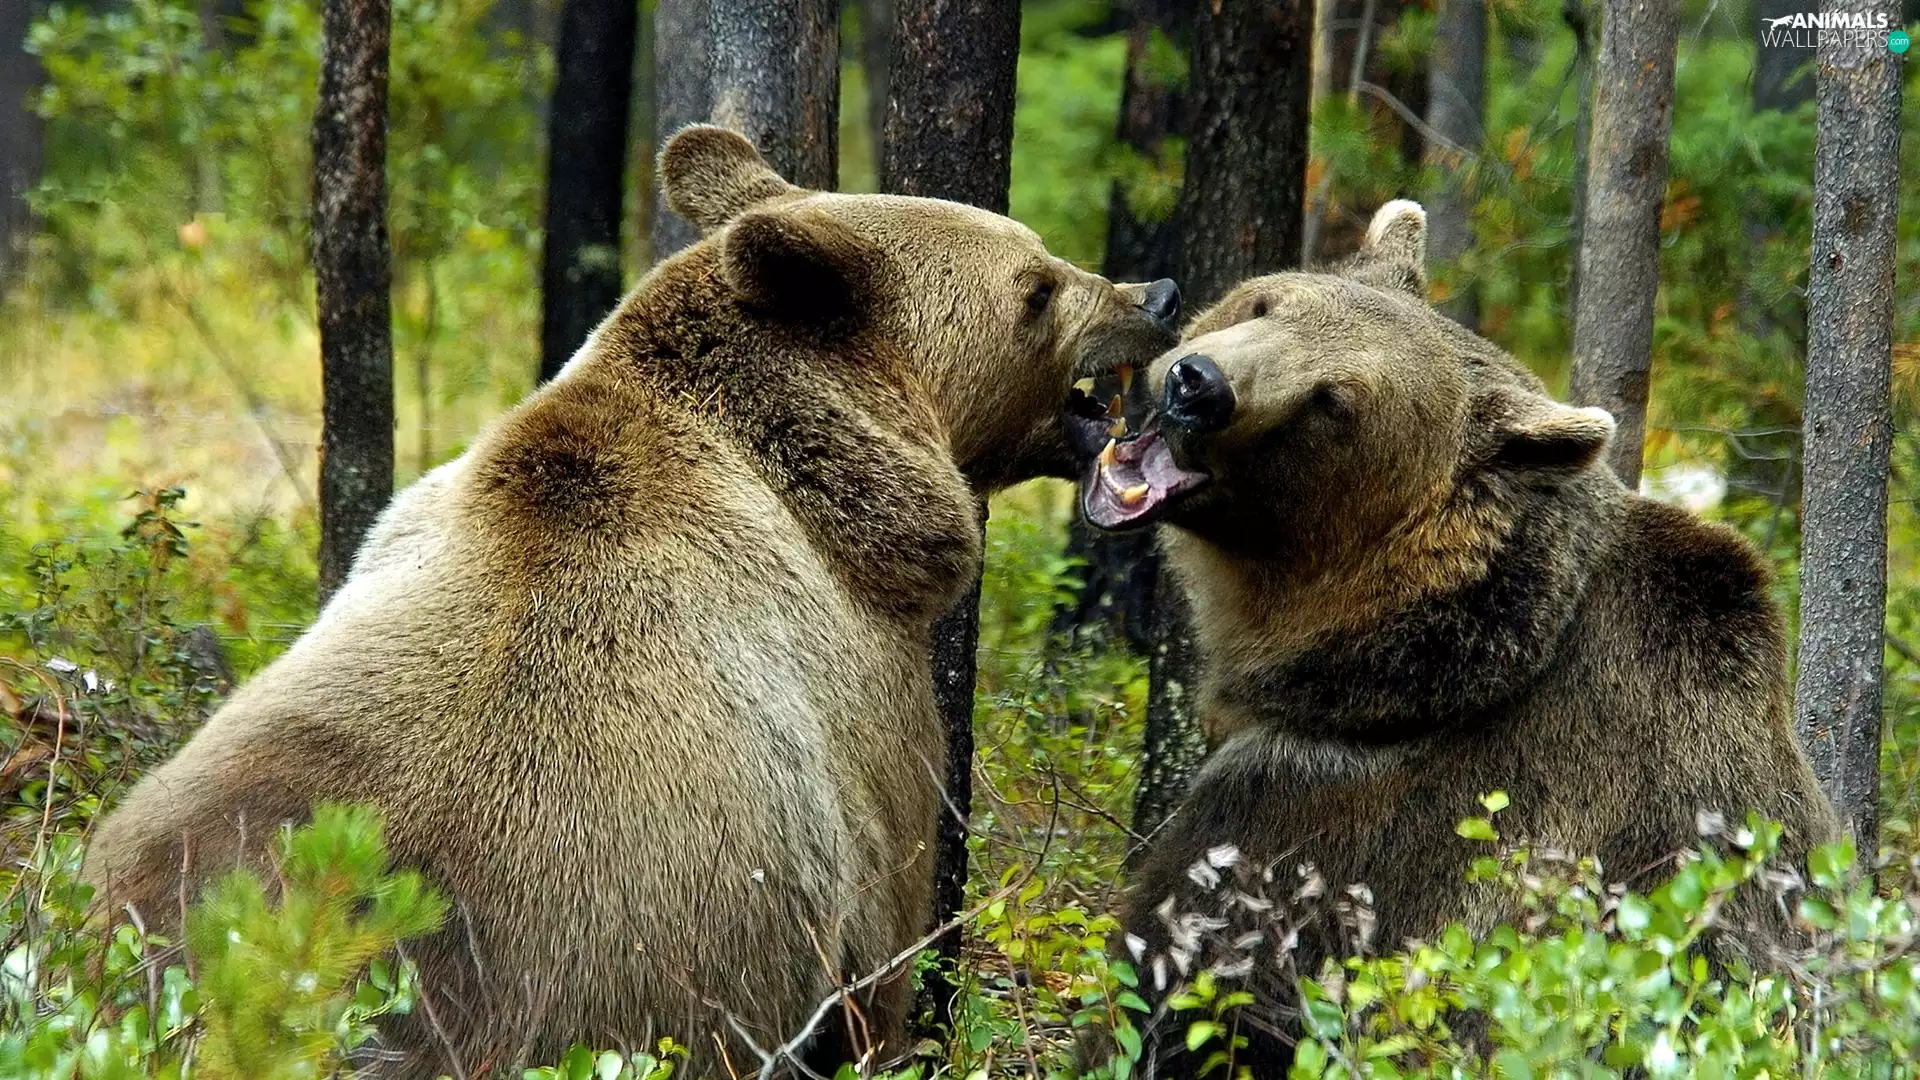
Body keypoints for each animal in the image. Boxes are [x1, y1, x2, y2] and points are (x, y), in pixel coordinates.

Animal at [82, 125, 1181, 1078]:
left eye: (1044, 258)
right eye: (1037, 285)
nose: (1158, 290)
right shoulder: (863, 732)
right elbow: (887, 948)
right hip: (573, 984)